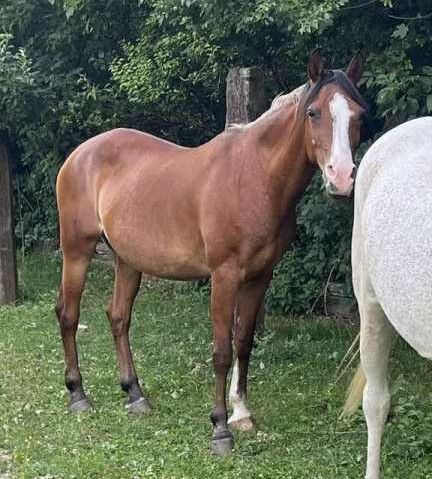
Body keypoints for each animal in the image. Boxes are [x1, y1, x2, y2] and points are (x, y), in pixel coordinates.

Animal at [55, 50, 368, 456]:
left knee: (118, 318)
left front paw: (242, 413)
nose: (341, 176)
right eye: (313, 112)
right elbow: (221, 350)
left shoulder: (260, 277)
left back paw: (135, 394)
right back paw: (78, 395)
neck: (254, 178)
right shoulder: (224, 276)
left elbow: (244, 343)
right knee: (68, 315)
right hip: (77, 252)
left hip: (128, 261)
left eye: (358, 114)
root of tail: (80, 153)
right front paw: (220, 428)